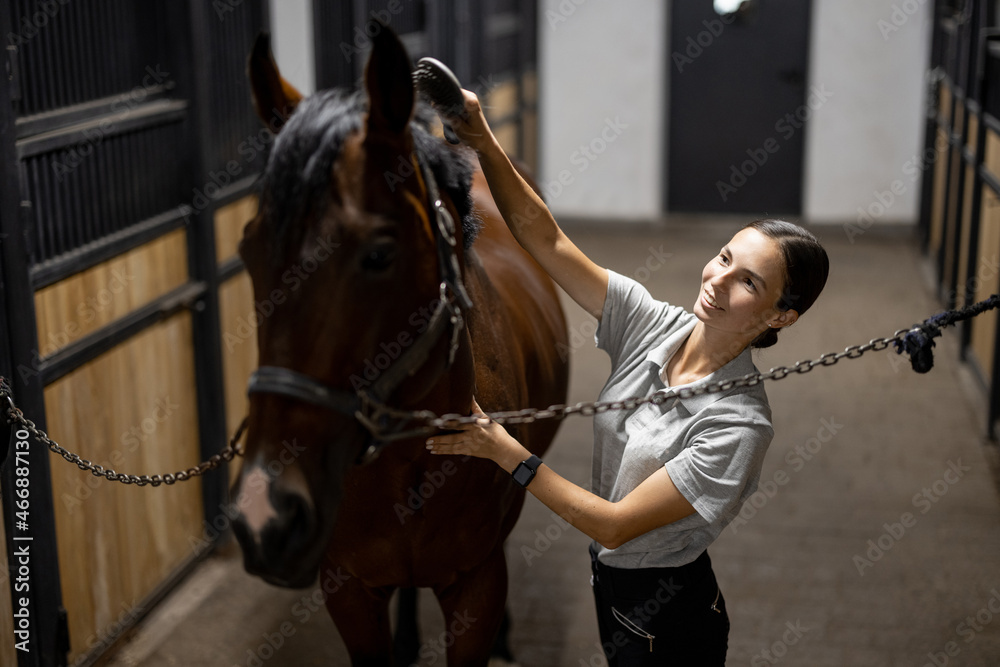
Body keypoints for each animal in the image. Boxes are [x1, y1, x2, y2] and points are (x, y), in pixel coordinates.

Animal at [229, 28, 572, 664]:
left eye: (379, 253)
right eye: (249, 252)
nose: (266, 514)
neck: (409, 463)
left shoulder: (478, 584)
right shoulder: (347, 588)